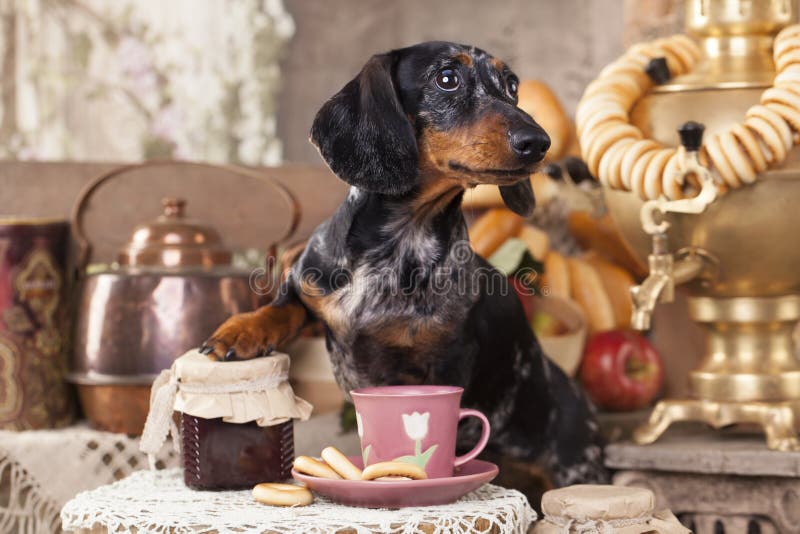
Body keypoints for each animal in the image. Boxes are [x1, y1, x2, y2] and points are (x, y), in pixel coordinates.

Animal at [202, 42, 608, 492]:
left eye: (512, 85)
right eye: (446, 78)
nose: (539, 143)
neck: (400, 239)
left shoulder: (445, 360)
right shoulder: (308, 291)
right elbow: (280, 307)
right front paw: (239, 332)